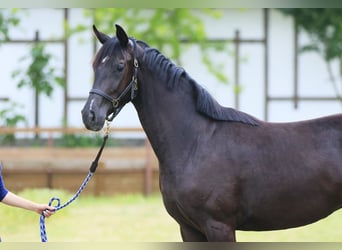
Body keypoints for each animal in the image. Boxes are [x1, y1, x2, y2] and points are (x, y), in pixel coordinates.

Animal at [81, 24, 342, 241]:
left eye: (119, 66)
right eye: (94, 66)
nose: (89, 115)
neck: (195, 143)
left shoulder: (219, 226)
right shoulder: (189, 229)